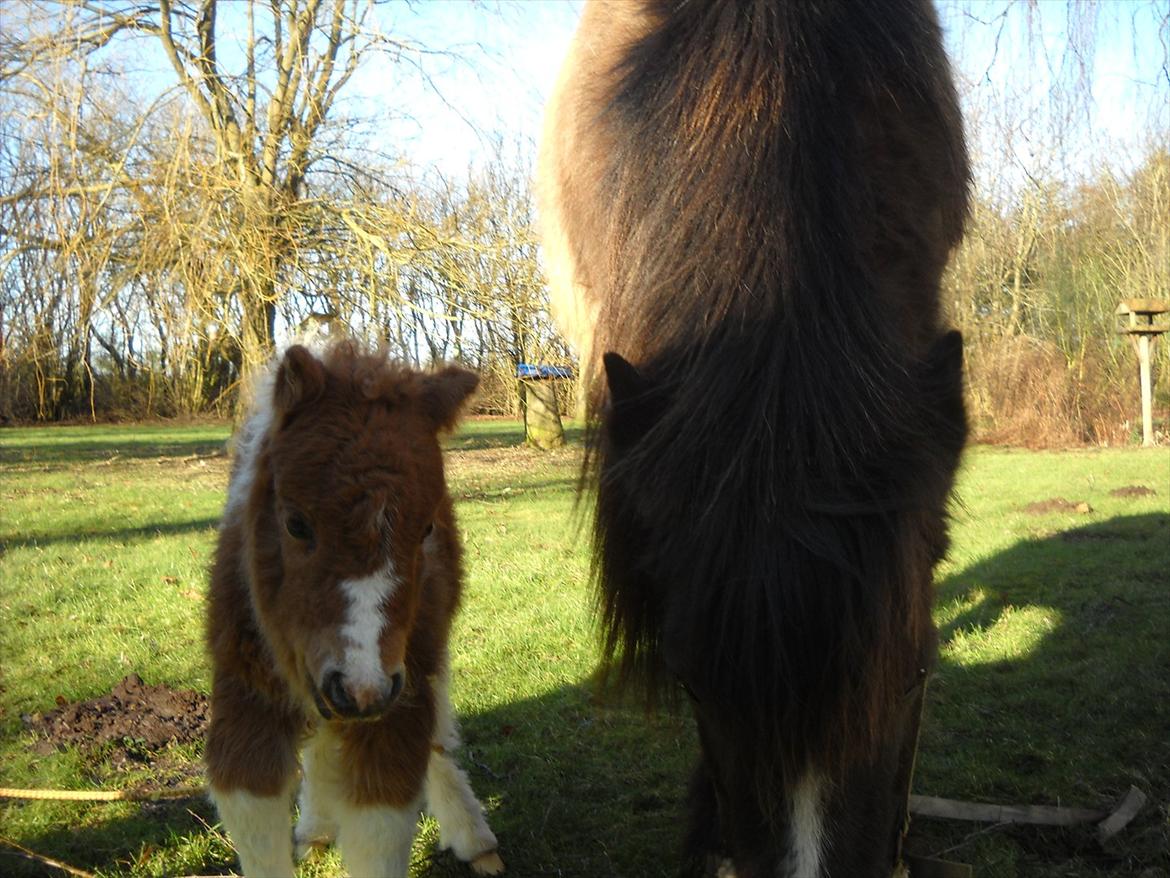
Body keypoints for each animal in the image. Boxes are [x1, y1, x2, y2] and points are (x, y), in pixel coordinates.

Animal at [207, 341, 507, 878]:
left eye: (427, 528)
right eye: (296, 523)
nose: (362, 689)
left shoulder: (400, 691)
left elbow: (381, 826)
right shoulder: (246, 693)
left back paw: (474, 839)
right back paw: (316, 827)